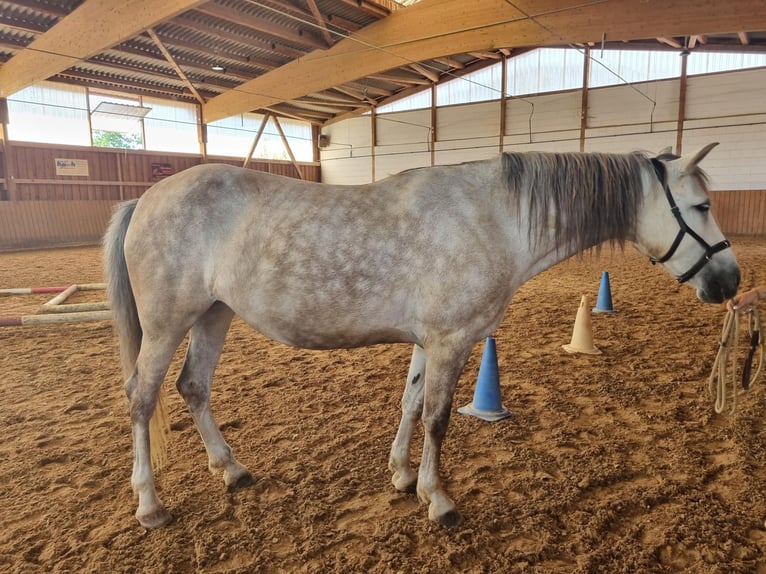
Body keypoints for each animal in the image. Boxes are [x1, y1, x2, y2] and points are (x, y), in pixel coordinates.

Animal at [103, 143, 740, 529]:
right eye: (701, 205)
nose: (730, 280)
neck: (495, 216)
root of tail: (145, 198)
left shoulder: (425, 341)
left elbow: (409, 403)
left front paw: (403, 475)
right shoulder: (451, 341)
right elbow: (437, 417)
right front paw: (439, 499)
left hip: (214, 314)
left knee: (193, 387)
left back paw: (231, 470)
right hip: (166, 324)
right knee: (142, 398)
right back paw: (150, 504)